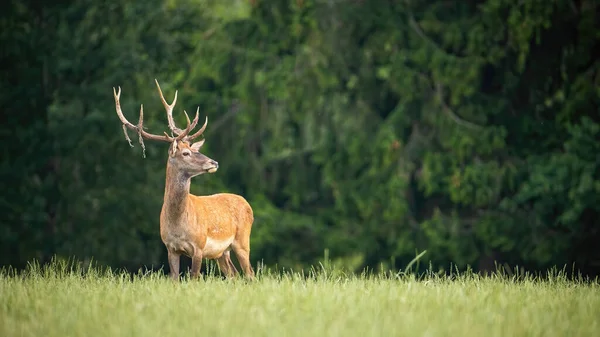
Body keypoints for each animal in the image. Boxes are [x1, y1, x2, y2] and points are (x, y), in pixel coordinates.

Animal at [113, 80, 255, 280]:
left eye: (195, 149)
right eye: (186, 153)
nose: (214, 162)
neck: (178, 224)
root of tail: (247, 203)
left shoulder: (199, 246)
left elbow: (194, 278)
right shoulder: (170, 248)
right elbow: (175, 279)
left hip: (242, 241)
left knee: (250, 274)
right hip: (222, 252)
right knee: (234, 275)